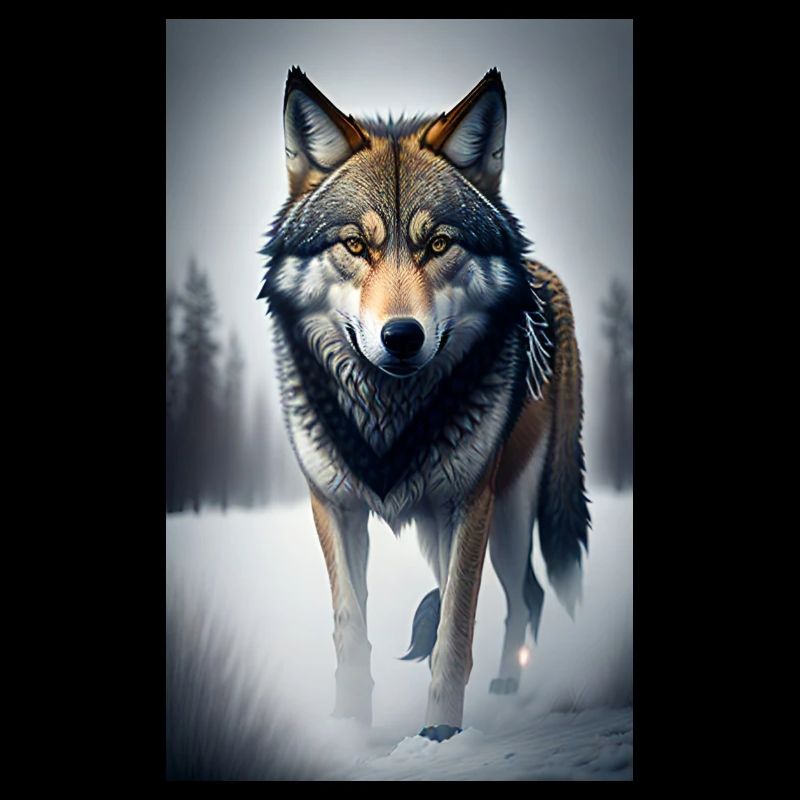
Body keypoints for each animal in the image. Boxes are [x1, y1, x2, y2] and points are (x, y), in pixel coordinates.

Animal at [258, 67, 590, 741]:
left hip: (504, 513)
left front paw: (440, 736)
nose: (402, 336)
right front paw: (350, 730)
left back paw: (508, 687)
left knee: (527, 594)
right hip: (448, 528)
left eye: (438, 244)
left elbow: (455, 633)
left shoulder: (469, 503)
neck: (390, 415)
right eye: (355, 245)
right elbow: (351, 629)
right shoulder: (334, 505)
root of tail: (547, 276)